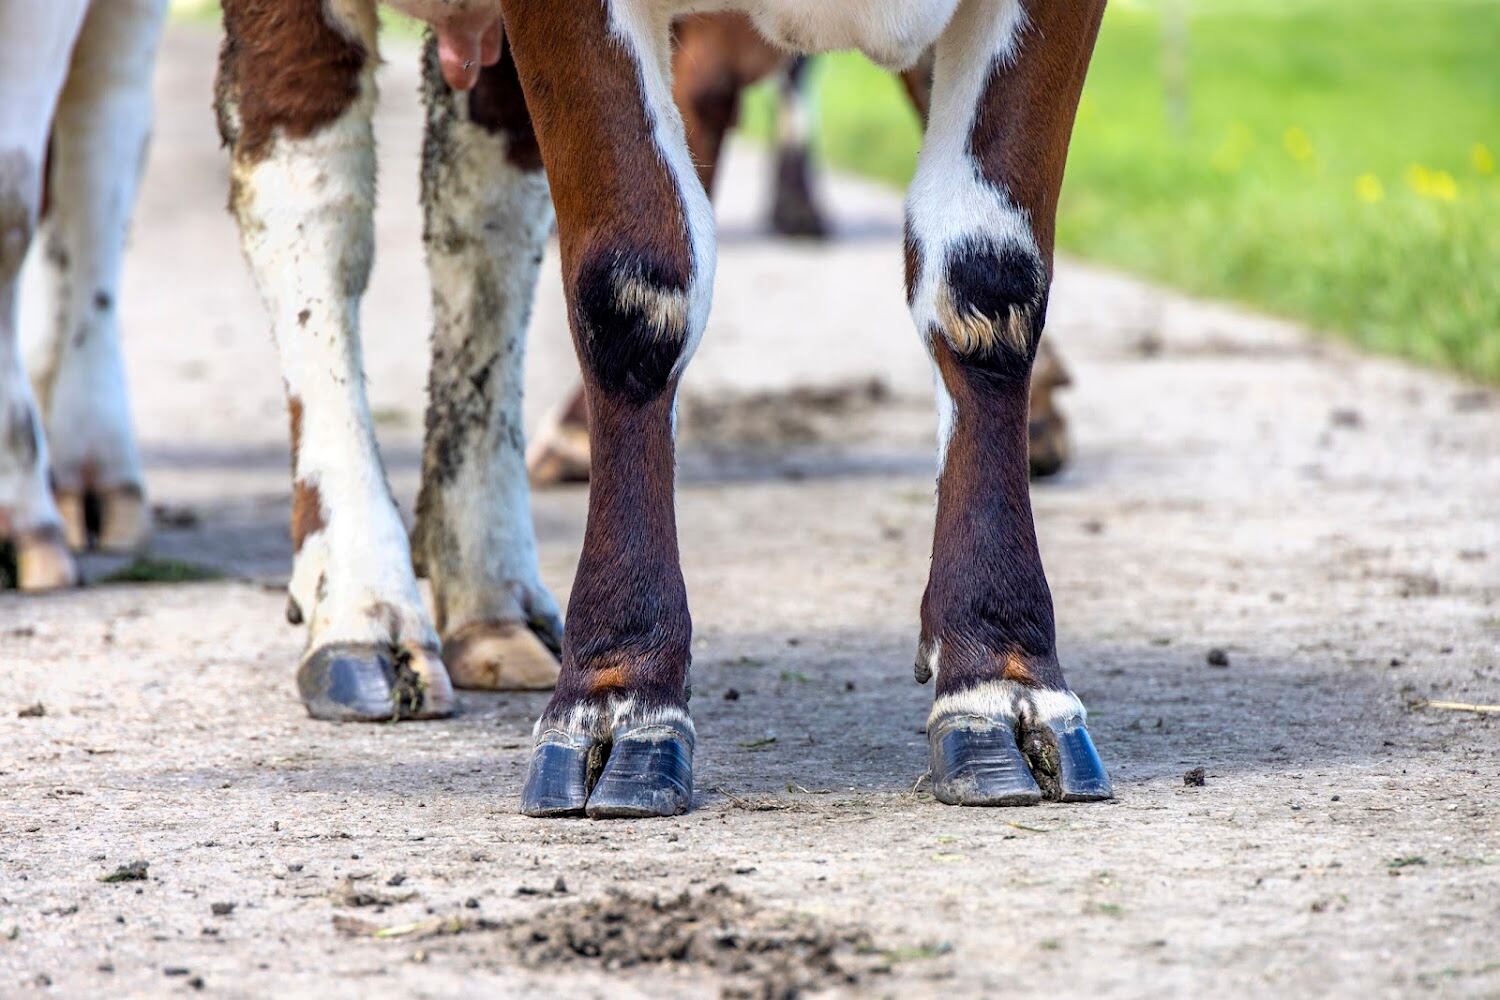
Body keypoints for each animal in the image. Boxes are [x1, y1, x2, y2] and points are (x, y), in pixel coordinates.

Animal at [211, 0, 1113, 818]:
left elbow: (987, 279)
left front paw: (1000, 675)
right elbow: (634, 286)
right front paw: (621, 694)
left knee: (482, 208)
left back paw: (490, 593)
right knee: (308, 186)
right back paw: (363, 605)